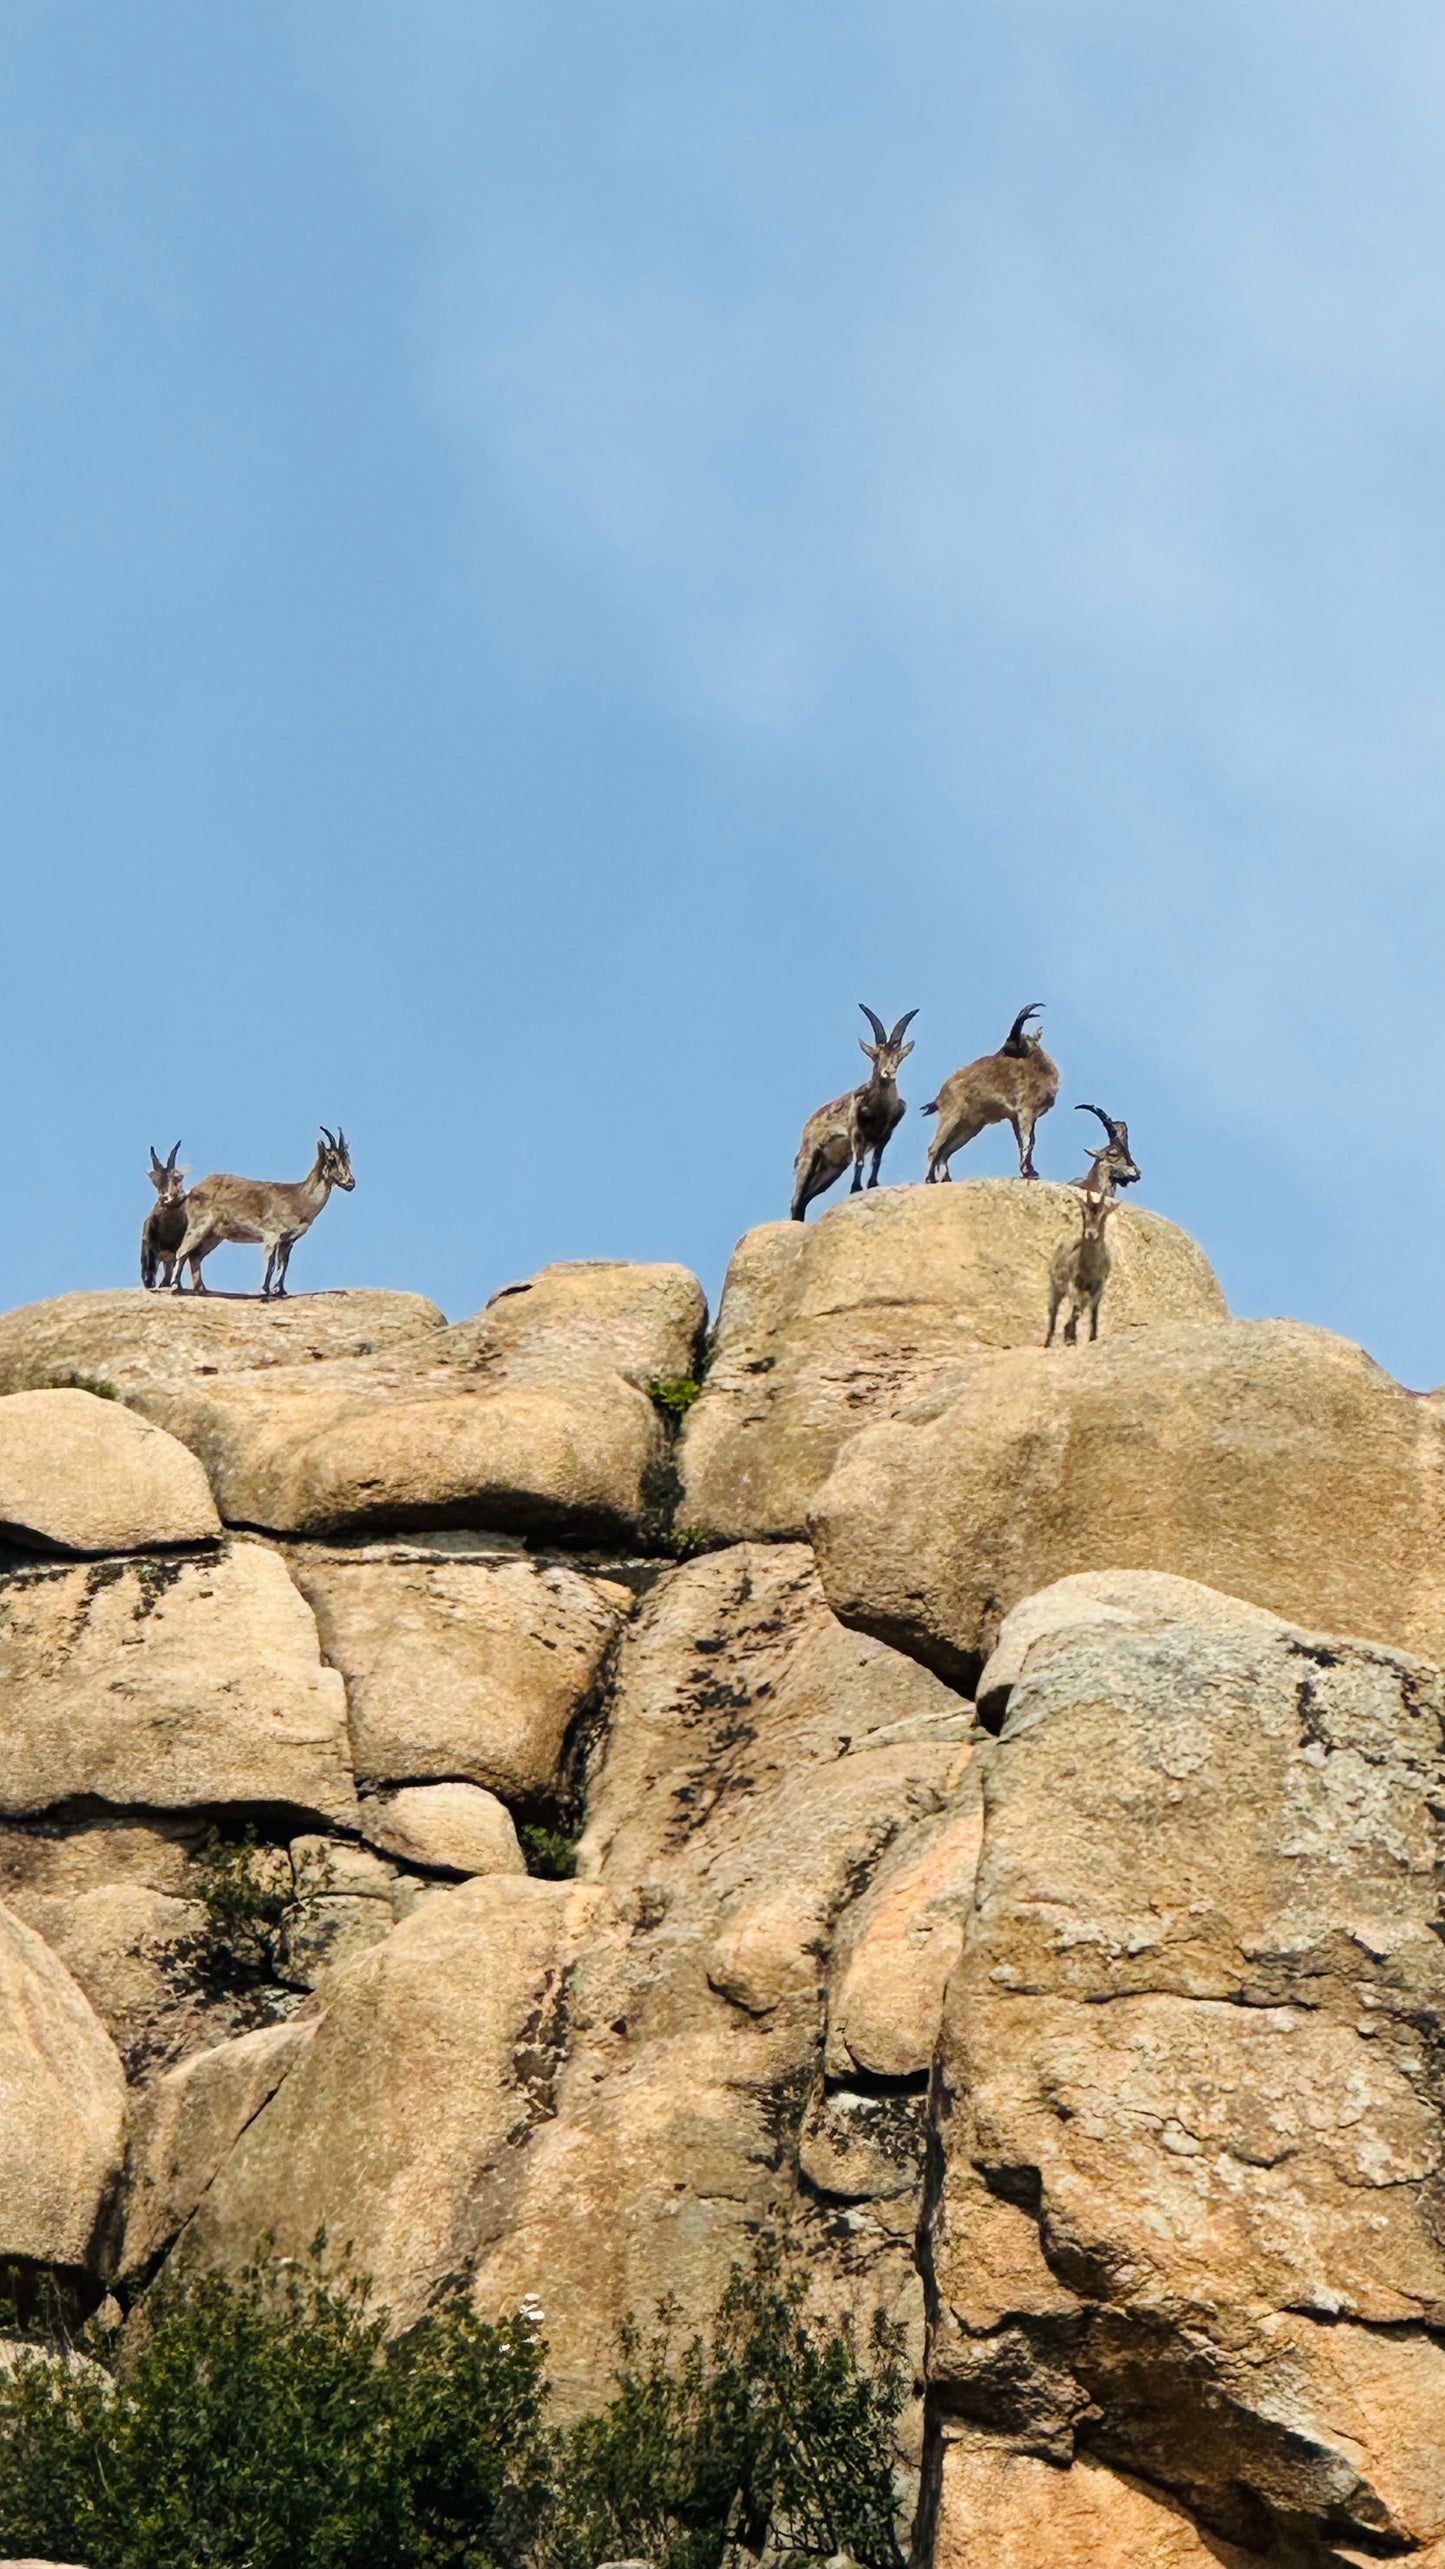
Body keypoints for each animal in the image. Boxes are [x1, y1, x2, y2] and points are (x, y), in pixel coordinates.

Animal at [163, 1125, 352, 1294]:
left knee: (195, 1255)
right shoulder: (272, 1235)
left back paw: (201, 1289)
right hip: (199, 1226)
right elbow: (270, 1262)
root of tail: (193, 1191)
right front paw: (264, 1290)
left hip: (214, 1235)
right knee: (183, 1251)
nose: (351, 1183)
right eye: (331, 1159)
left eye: (348, 1159)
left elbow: (284, 1264)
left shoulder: (288, 1241)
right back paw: (176, 1287)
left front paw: (280, 1291)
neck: (300, 1199)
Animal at [781, 1001, 915, 1222]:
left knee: (804, 1201)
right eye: (876, 1056)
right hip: (809, 1157)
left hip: (830, 1170)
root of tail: (807, 1126)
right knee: (796, 1199)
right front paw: (856, 1189)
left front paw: (872, 1185)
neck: (879, 1108)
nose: (888, 1073)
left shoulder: (886, 1133)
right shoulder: (856, 1130)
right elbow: (860, 1161)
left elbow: (876, 1159)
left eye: (898, 1058)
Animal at [920, 1001, 1059, 1181]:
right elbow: (1026, 1142)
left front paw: (1030, 1172)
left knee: (945, 1153)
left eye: (1016, 1042)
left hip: (969, 1128)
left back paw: (945, 1179)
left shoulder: (1021, 1117)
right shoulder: (1024, 1111)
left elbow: (1027, 1142)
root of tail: (939, 1097)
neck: (1039, 1070)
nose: (996, 1056)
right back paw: (930, 1180)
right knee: (933, 1148)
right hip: (951, 1117)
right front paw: (1028, 1172)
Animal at [1038, 1181, 1121, 1346]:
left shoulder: (1098, 1286)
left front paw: (1091, 1337)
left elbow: (1092, 1311)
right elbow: (1077, 1310)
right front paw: (1071, 1337)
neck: (1090, 1269)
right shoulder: (1074, 1284)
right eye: (1083, 1212)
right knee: (1053, 1310)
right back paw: (1048, 1342)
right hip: (1056, 1286)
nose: (1091, 1234)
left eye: (1104, 1215)